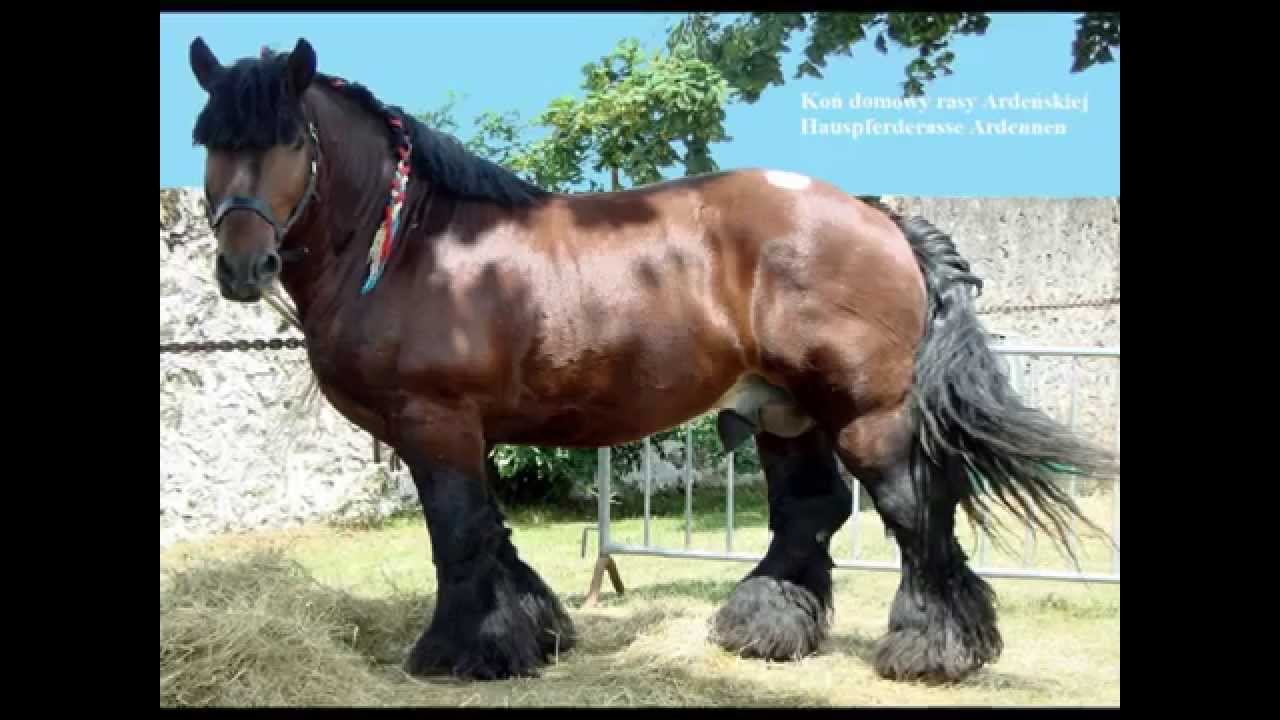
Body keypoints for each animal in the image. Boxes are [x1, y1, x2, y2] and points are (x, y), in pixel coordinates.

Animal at [184, 37, 1117, 684]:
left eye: (292, 139)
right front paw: (534, 633)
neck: (418, 245)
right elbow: (491, 535)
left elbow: (457, 536)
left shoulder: (435, 422)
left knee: (915, 513)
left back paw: (931, 649)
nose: (242, 267)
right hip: (785, 409)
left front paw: (463, 653)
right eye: (209, 140)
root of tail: (876, 217)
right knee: (811, 511)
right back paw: (765, 627)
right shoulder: (466, 432)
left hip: (866, 413)